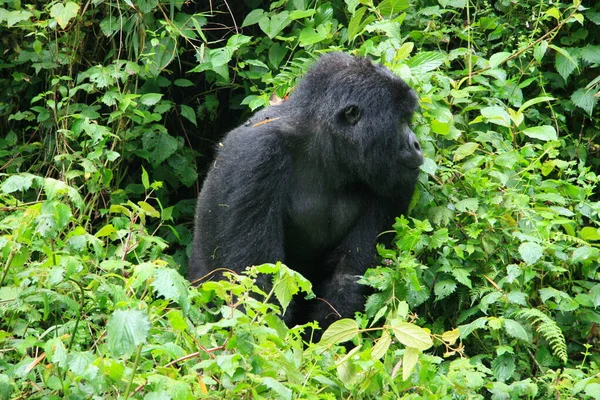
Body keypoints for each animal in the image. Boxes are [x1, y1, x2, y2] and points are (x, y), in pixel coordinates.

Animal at [190, 52, 424, 334]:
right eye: (400, 121)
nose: (417, 145)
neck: (323, 144)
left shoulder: (397, 178)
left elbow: (347, 277)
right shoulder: (257, 155)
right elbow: (257, 283)